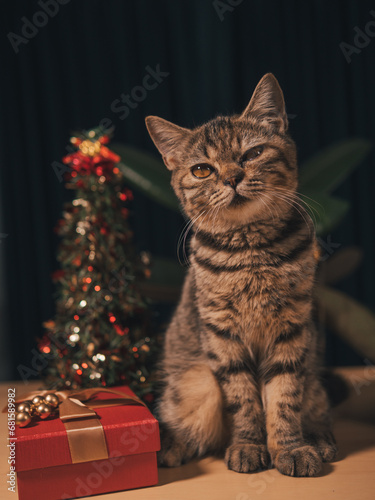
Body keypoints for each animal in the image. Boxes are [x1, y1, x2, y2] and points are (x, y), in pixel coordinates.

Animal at [146, 73, 338, 476]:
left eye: (252, 154)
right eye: (202, 169)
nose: (233, 177)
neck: (251, 250)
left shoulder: (291, 329)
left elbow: (283, 397)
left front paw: (291, 448)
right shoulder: (223, 335)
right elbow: (244, 399)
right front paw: (249, 445)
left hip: (314, 372)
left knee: (316, 407)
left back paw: (319, 439)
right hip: (193, 382)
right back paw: (172, 447)